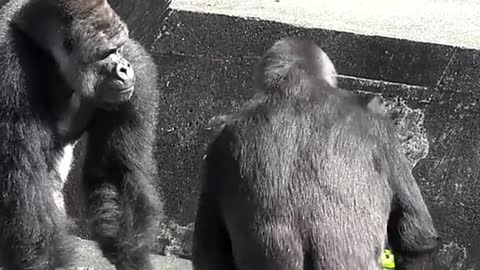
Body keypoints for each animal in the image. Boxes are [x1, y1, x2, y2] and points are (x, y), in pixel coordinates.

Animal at [0, 0, 171, 268]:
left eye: (120, 47)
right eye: (107, 52)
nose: (124, 68)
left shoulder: (138, 65)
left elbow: (115, 171)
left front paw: (132, 257)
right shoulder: (9, 73)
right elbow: (25, 189)